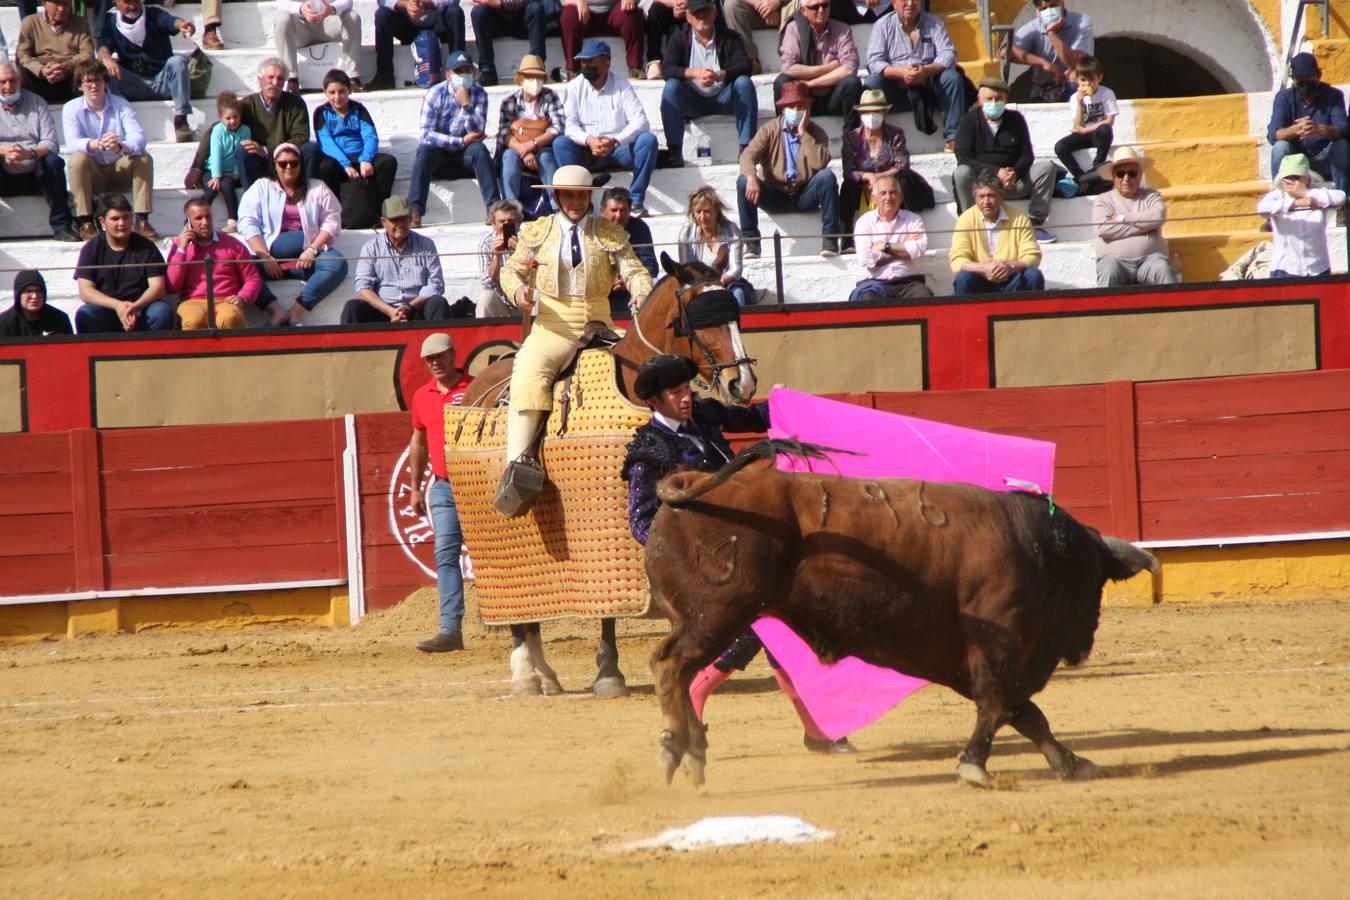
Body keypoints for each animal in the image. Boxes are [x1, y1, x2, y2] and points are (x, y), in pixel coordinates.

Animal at [464, 253, 761, 696]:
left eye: (734, 315)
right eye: (699, 318)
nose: (742, 383)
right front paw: (609, 671)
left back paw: (546, 674)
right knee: (514, 599)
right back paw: (525, 674)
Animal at [645, 442, 1161, 788]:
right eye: (1094, 582)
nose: (1083, 646)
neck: (1036, 547)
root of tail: (689, 484)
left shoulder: (971, 659)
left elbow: (1026, 713)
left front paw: (1073, 764)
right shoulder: (998, 645)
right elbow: (1000, 705)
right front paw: (973, 766)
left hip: (709, 617)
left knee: (683, 672)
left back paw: (692, 753)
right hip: (716, 614)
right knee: (670, 664)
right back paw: (675, 749)